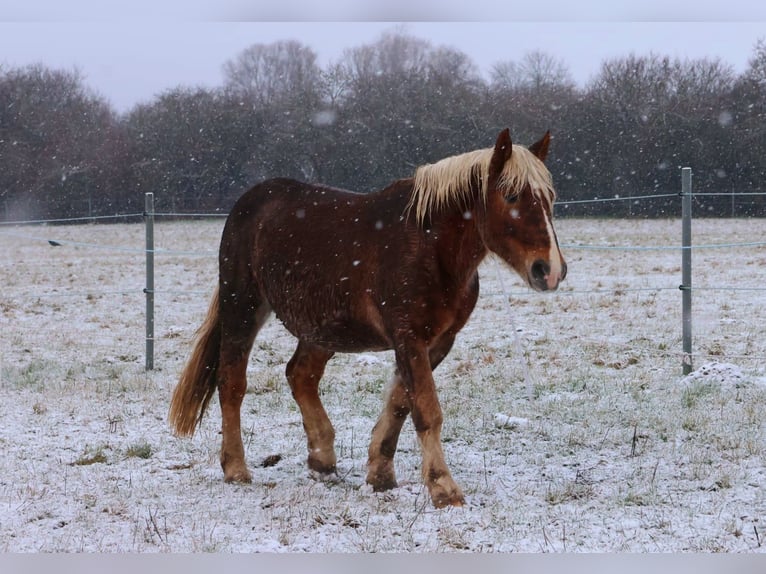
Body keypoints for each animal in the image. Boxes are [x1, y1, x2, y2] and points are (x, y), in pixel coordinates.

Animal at [169, 128, 566, 508]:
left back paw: (322, 460)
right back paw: (236, 468)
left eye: (549, 197)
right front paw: (443, 488)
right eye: (511, 196)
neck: (431, 247)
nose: (550, 270)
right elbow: (426, 411)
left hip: (321, 328)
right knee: (232, 383)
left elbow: (400, 404)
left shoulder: (437, 342)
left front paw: (380, 474)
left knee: (300, 376)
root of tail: (249, 201)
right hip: (243, 308)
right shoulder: (409, 338)